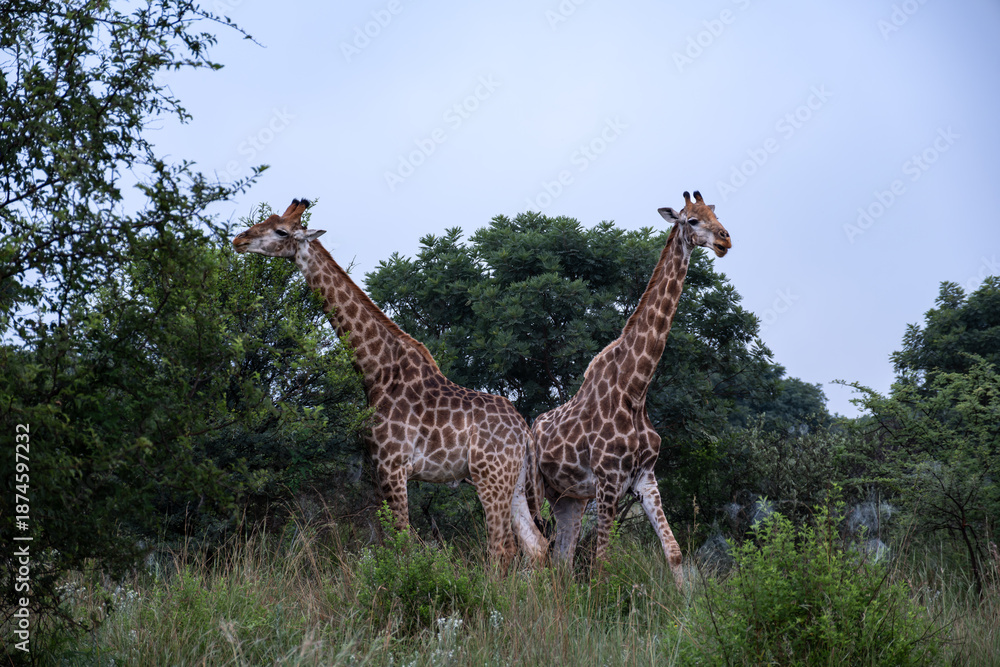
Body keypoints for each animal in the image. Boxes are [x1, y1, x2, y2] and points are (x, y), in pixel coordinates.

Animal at [232, 199, 547, 566]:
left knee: (502, 548)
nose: (239, 240)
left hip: (489, 476)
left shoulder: (392, 465)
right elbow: (387, 543)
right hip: (513, 482)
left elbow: (404, 545)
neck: (376, 370)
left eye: (281, 231)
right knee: (537, 545)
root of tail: (524, 432)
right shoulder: (376, 470)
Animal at [531, 191, 731, 587]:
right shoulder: (609, 480)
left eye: (716, 215)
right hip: (535, 489)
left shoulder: (645, 479)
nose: (725, 240)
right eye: (692, 220)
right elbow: (601, 562)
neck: (636, 389)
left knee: (561, 558)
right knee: (527, 545)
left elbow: (674, 552)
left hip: (569, 497)